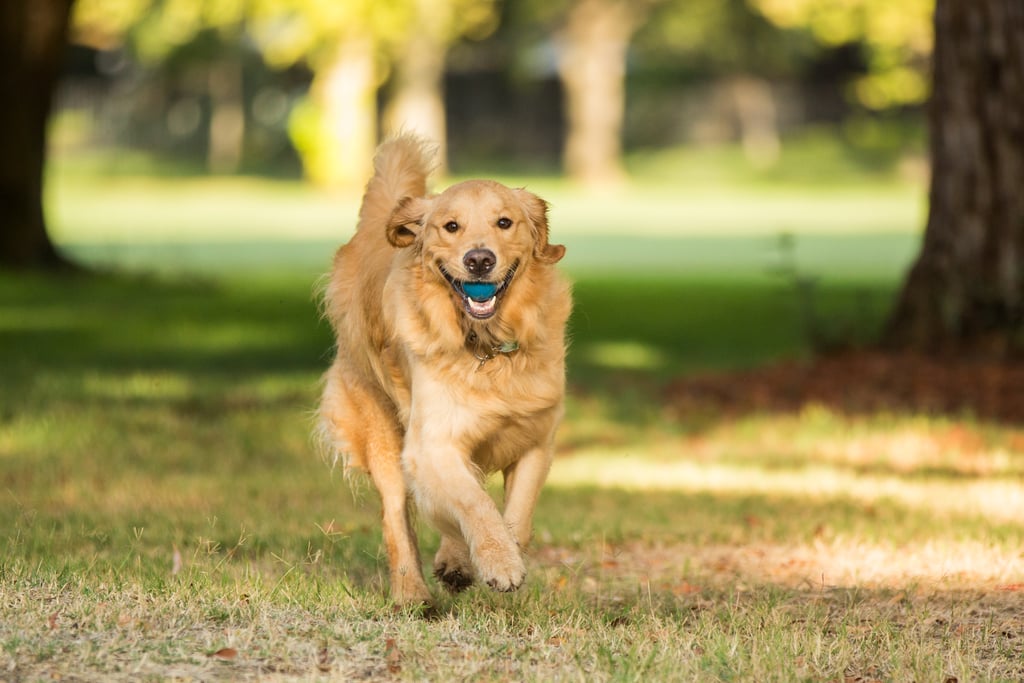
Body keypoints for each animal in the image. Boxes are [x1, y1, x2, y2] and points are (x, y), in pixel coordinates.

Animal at [317, 136, 573, 606]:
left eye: (504, 222)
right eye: (451, 226)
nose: (479, 260)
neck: (487, 348)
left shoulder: (536, 437)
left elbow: (516, 515)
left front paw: (497, 552)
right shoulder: (432, 443)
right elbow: (474, 503)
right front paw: (500, 562)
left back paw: (455, 562)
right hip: (381, 429)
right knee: (397, 514)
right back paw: (412, 593)